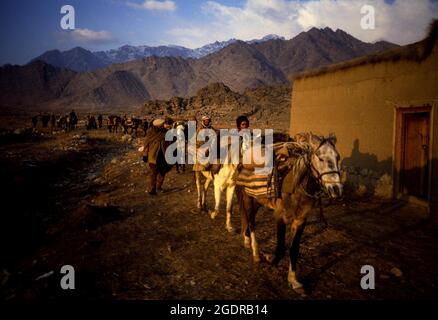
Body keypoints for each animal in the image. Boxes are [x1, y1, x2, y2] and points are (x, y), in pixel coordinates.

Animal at [236, 131, 342, 294]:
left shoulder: (300, 221)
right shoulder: (281, 217)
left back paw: (247, 241)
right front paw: (271, 261)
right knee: (251, 222)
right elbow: (280, 247)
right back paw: (256, 253)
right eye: (320, 157)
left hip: (258, 201)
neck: (298, 186)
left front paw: (294, 281)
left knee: (249, 218)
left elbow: (294, 249)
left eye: (338, 157)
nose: (336, 190)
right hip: (248, 197)